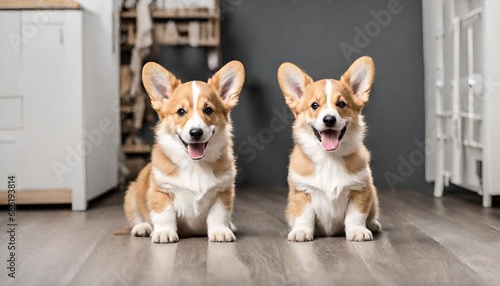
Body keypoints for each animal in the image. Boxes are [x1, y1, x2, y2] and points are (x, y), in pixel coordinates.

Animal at [123, 61, 244, 244]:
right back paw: (142, 228)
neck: (195, 165)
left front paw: (220, 231)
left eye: (208, 110)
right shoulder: (161, 191)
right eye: (181, 111)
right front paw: (164, 232)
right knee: (137, 218)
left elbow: (218, 215)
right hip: (132, 194)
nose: (196, 133)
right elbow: (164, 214)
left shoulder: (223, 191)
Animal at [278, 55, 382, 241]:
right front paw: (301, 231)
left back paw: (373, 224)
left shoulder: (361, 189)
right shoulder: (301, 191)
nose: (329, 120)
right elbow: (304, 215)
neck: (329, 158)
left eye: (341, 104)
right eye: (314, 105)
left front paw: (357, 230)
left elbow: (356, 215)